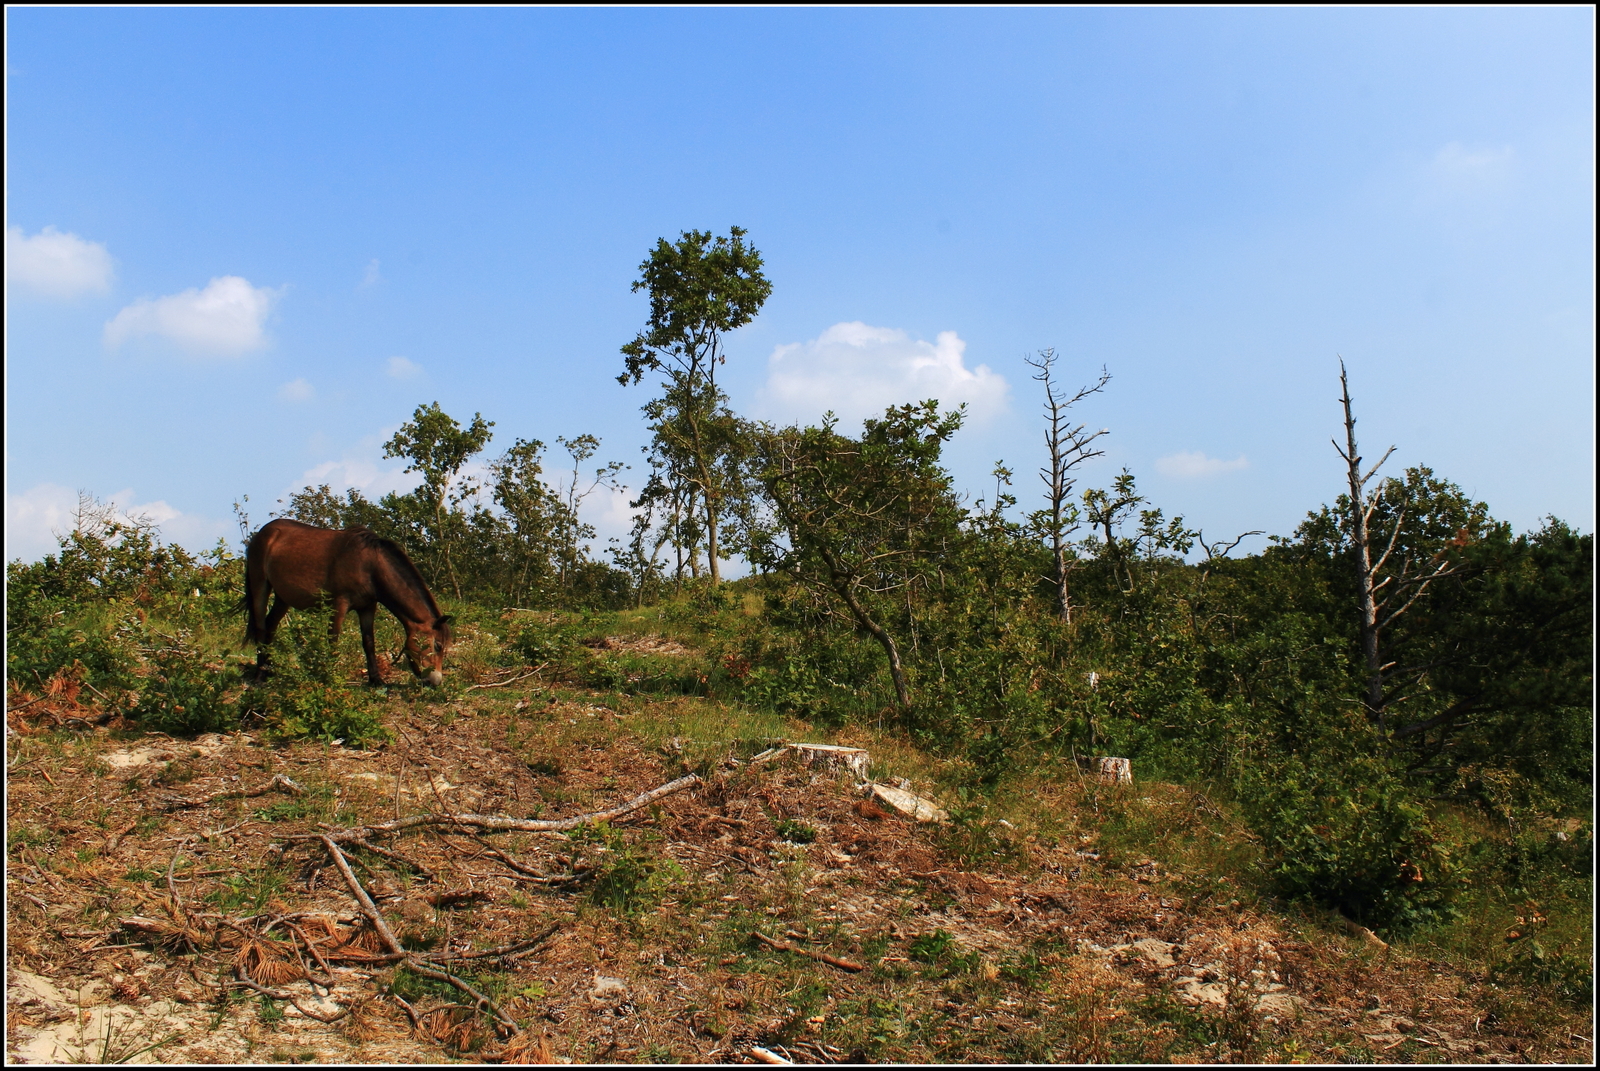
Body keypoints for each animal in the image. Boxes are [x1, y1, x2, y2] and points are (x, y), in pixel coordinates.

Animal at [244, 519, 453, 687]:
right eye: (438, 646)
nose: (436, 681)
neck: (370, 566)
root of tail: (264, 532)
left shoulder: (367, 607)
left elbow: (369, 642)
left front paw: (376, 680)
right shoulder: (339, 604)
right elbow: (333, 641)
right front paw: (329, 677)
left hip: (282, 597)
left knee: (271, 626)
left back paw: (269, 669)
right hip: (260, 585)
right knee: (261, 627)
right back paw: (259, 676)